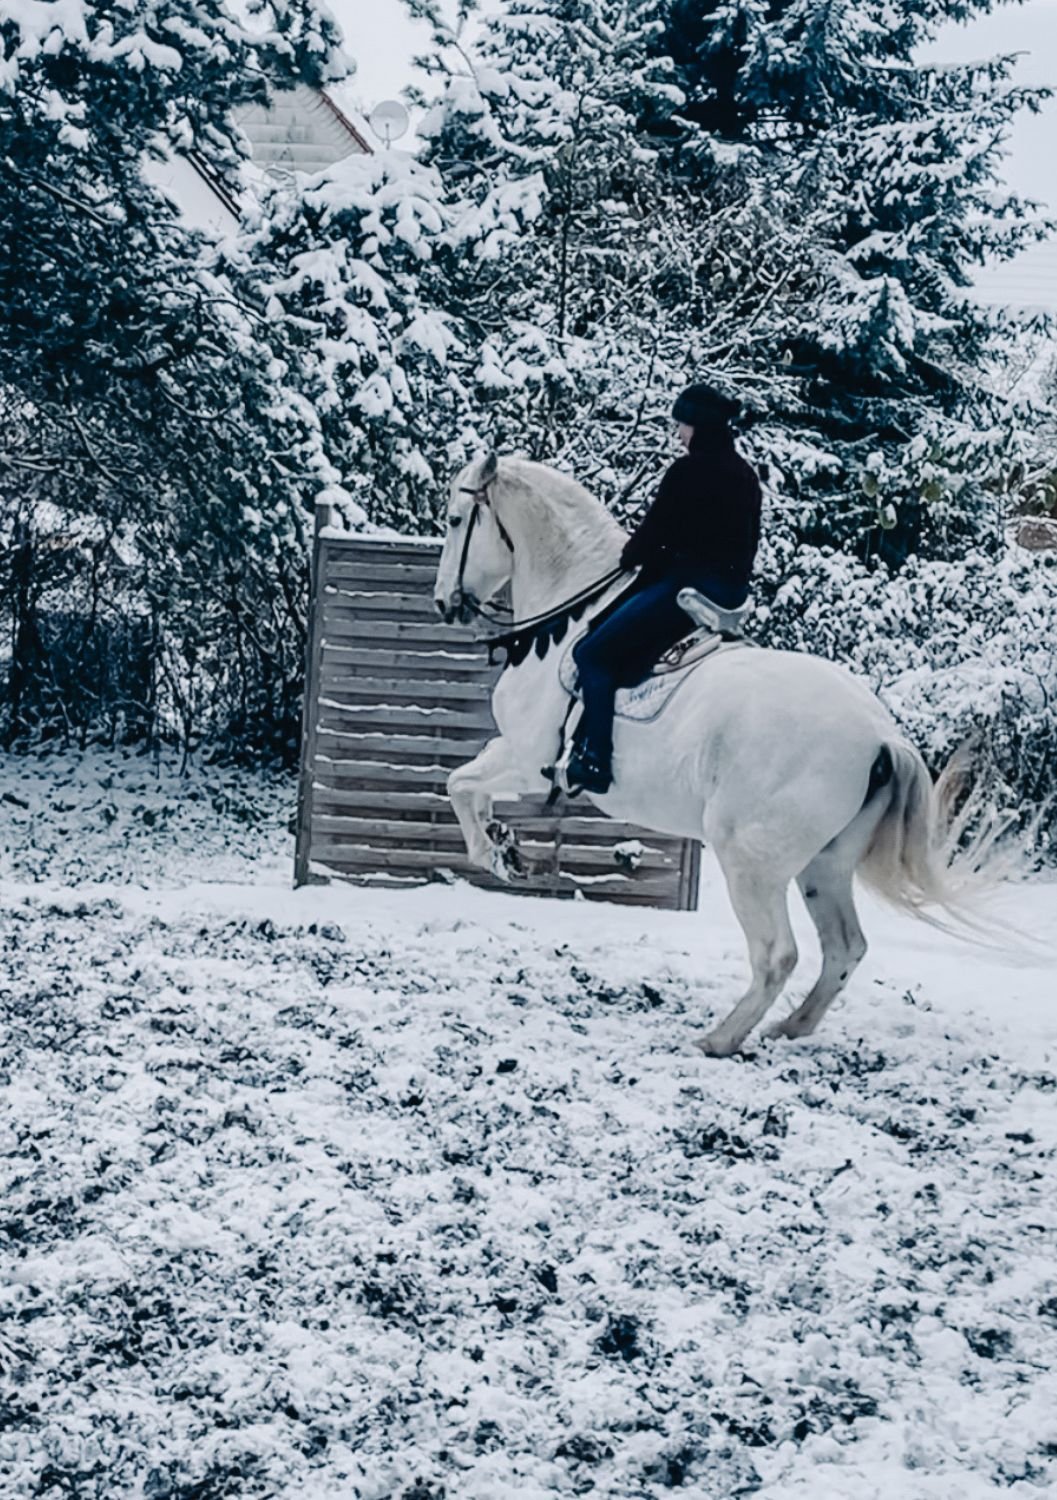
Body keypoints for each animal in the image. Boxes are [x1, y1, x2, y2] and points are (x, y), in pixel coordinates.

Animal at [431, 453, 971, 1056]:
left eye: (455, 520)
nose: (444, 603)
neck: (571, 615)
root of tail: (881, 735)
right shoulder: (515, 754)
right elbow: (467, 786)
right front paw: (503, 842)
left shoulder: (526, 757)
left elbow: (460, 784)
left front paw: (496, 854)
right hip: (824, 865)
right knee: (844, 947)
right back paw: (790, 1027)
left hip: (751, 861)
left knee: (778, 954)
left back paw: (718, 1039)